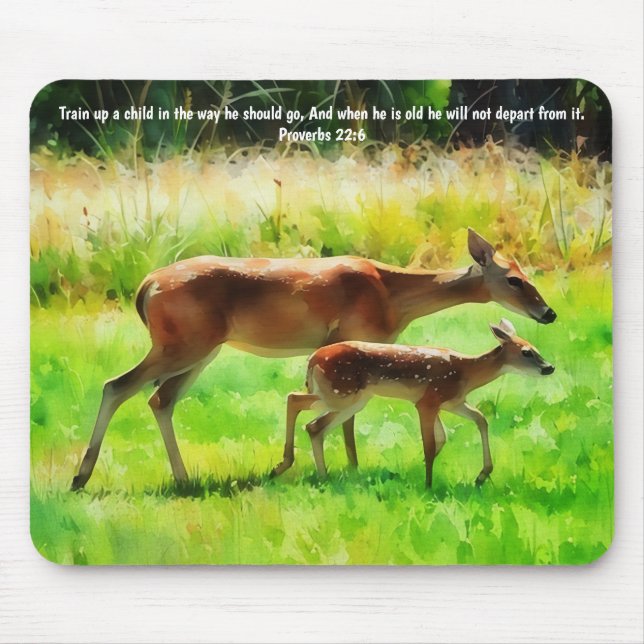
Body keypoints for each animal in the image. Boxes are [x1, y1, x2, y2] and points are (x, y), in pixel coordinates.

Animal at [280, 319, 554, 487]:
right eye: (526, 352)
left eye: (536, 348)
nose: (549, 367)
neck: (466, 373)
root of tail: (312, 360)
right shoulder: (428, 401)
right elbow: (431, 444)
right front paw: (428, 484)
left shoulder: (452, 402)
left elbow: (475, 422)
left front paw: (481, 475)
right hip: (342, 393)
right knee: (296, 402)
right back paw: (286, 466)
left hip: (349, 398)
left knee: (313, 425)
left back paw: (320, 475)